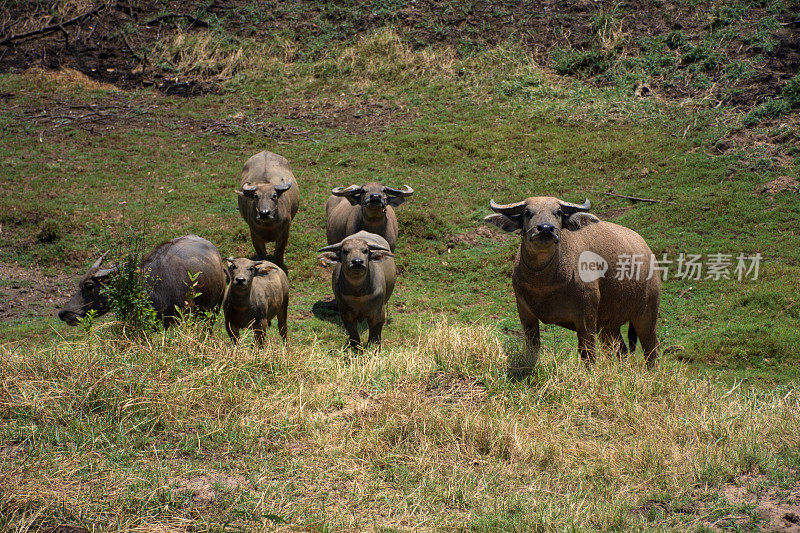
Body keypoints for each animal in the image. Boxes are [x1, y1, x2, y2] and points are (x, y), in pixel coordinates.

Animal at [484, 195, 660, 374]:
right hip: (609, 325)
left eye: (558, 212)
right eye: (527, 212)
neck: (543, 283)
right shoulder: (525, 312)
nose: (546, 229)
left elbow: (587, 352)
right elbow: (532, 346)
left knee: (651, 348)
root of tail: (648, 251)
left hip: (647, 314)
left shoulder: (586, 316)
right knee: (620, 350)